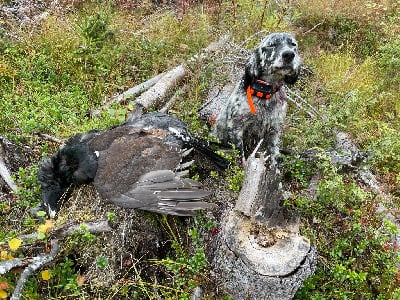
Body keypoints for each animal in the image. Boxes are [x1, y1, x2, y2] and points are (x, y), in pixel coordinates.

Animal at [212, 32, 300, 166]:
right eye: (271, 45)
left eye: (293, 44)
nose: (289, 54)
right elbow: (240, 154)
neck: (264, 93)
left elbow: (274, 155)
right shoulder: (236, 127)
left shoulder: (274, 130)